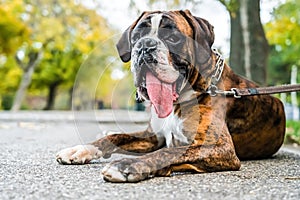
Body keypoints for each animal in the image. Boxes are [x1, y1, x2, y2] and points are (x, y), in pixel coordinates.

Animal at [56, 9, 286, 183]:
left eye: (173, 38)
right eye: (136, 37)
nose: (145, 45)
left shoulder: (219, 148)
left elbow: (169, 152)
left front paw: (128, 165)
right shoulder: (153, 136)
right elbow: (116, 136)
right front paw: (81, 149)